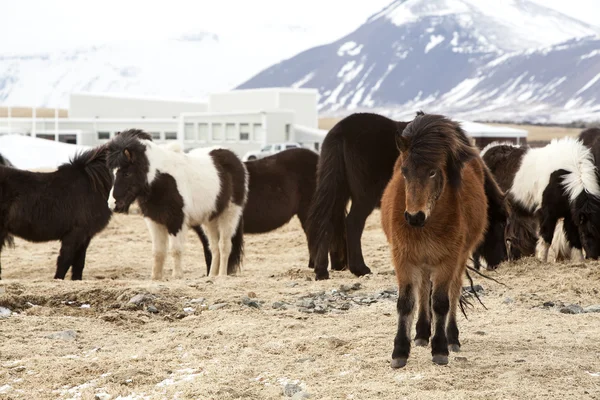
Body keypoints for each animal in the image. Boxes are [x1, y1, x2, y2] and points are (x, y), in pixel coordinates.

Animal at [106, 130, 247, 280]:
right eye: (112, 174)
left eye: (127, 173)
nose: (113, 204)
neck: (160, 180)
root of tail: (234, 158)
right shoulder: (154, 221)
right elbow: (158, 251)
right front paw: (155, 277)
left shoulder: (176, 221)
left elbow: (175, 249)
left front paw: (177, 275)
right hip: (210, 220)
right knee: (214, 247)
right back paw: (212, 276)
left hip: (229, 214)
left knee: (224, 245)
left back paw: (221, 275)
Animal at [308, 111, 508, 282]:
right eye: (500, 223)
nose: (502, 260)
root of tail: (340, 131)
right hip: (364, 198)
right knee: (352, 223)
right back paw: (359, 269)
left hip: (337, 190)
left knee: (327, 221)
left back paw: (322, 271)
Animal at [380, 111, 492, 368]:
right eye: (404, 171)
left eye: (433, 172)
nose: (414, 217)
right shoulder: (403, 258)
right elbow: (406, 303)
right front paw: (400, 351)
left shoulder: (447, 260)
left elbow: (441, 302)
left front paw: (440, 348)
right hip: (422, 261)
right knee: (423, 290)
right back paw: (422, 333)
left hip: (458, 260)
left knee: (453, 291)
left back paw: (452, 338)